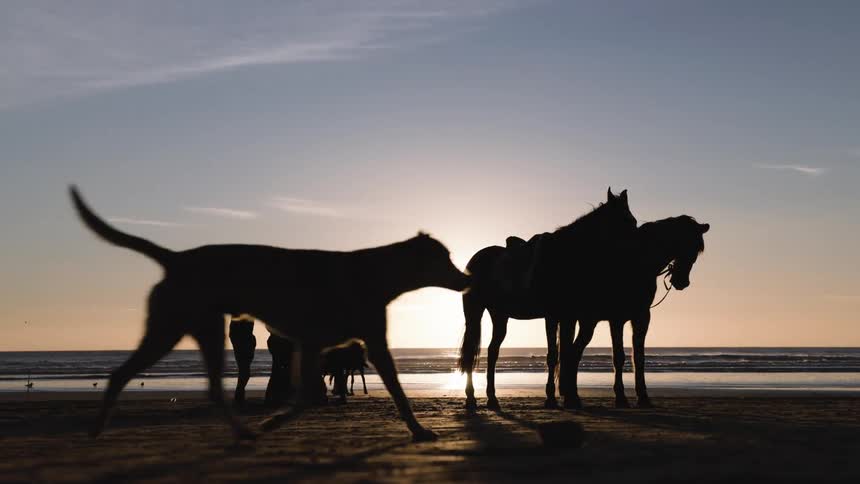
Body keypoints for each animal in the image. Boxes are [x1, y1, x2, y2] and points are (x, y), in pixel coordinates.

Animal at [457, 188, 638, 411]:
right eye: (626, 221)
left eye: (633, 221)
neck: (563, 257)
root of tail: (474, 261)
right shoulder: (552, 316)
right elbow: (553, 356)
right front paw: (552, 397)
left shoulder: (569, 317)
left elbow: (566, 353)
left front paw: (570, 397)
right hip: (474, 313)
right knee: (471, 351)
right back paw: (471, 398)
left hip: (500, 315)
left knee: (492, 351)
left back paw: (492, 398)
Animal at [560, 215, 709, 409]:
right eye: (685, 244)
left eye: (696, 251)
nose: (682, 282)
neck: (638, 262)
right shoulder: (616, 319)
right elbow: (618, 357)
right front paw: (621, 397)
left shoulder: (642, 316)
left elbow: (639, 357)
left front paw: (643, 397)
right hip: (587, 322)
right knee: (572, 353)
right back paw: (572, 397)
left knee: (571, 353)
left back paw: (570, 395)